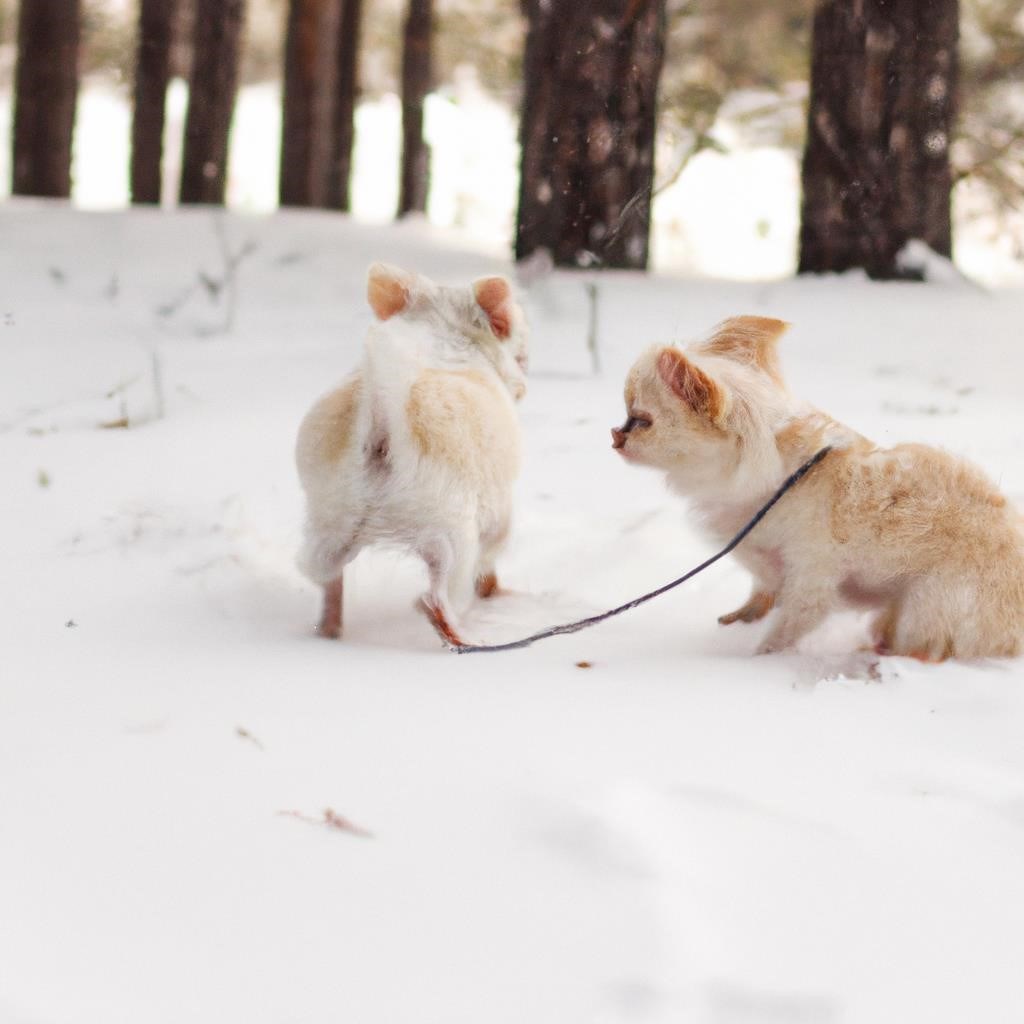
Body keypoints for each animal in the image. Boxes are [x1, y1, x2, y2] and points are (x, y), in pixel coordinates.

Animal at [294, 264, 528, 647]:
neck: (441, 333)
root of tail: (380, 423)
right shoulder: (498, 515)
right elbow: (490, 567)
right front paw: (498, 596)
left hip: (330, 524)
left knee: (326, 577)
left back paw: (330, 629)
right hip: (455, 534)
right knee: (438, 595)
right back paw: (457, 634)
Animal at [610, 315, 1024, 659]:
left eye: (642, 420)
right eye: (626, 414)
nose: (615, 436)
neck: (783, 479)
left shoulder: (812, 579)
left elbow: (788, 625)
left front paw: (756, 660)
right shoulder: (759, 552)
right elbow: (761, 589)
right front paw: (741, 619)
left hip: (928, 606)